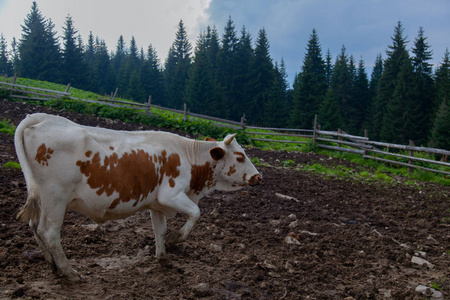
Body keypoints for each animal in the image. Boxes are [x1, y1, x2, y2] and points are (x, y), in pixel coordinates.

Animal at [14, 113, 262, 282]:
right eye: (240, 156)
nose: (258, 176)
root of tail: (44, 118)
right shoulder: (172, 195)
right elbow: (195, 213)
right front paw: (175, 238)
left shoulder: (157, 204)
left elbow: (159, 230)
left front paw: (163, 258)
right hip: (56, 197)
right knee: (49, 232)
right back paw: (69, 272)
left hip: (43, 199)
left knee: (34, 226)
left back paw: (52, 265)